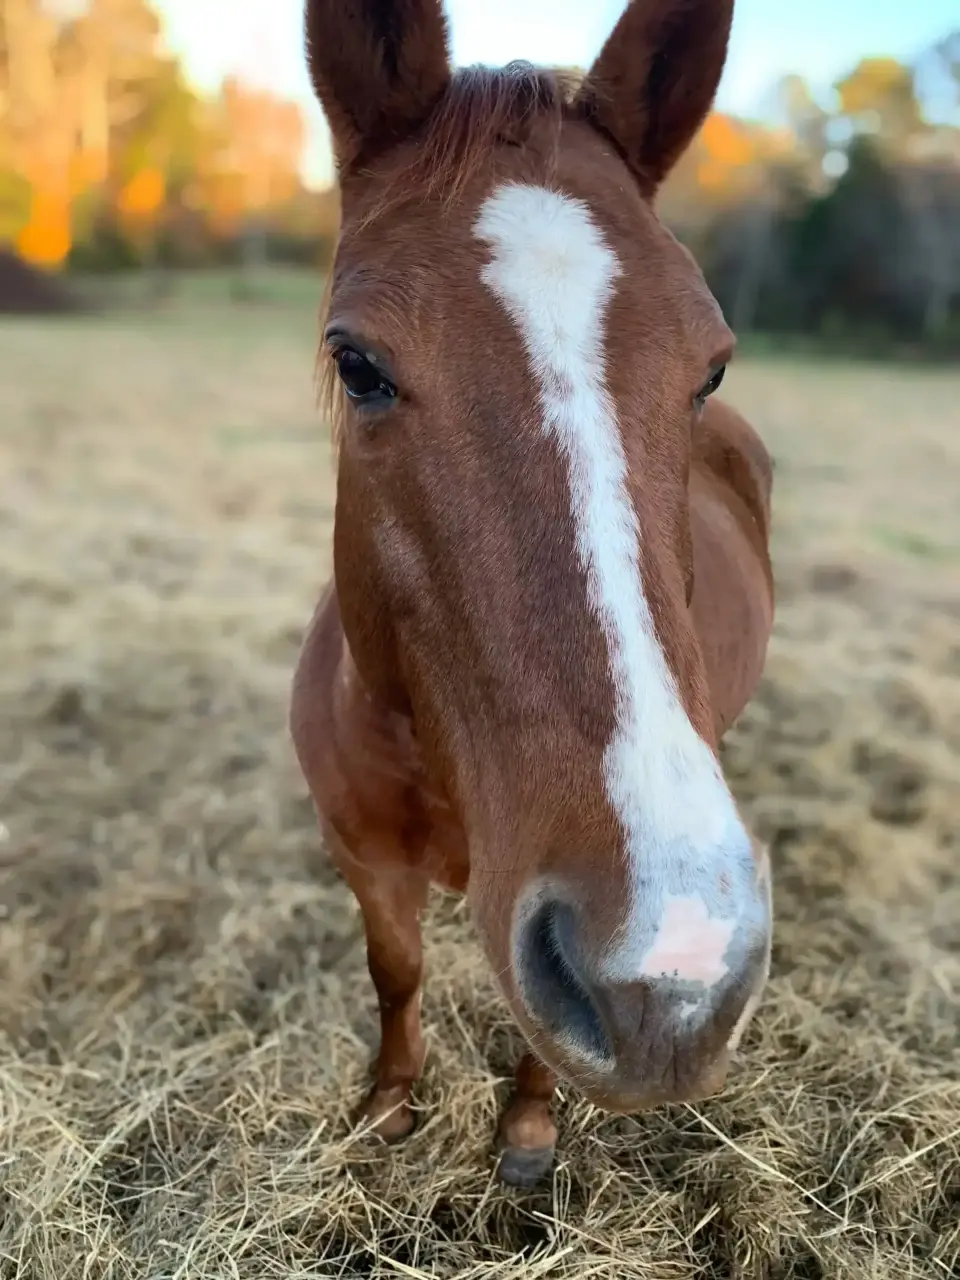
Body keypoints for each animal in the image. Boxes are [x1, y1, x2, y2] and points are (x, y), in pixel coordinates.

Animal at [290, 0, 775, 1188]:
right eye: (356, 362)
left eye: (711, 367)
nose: (670, 981)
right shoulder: (362, 860)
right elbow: (396, 972)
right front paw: (390, 1105)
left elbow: (533, 1037)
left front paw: (524, 1129)